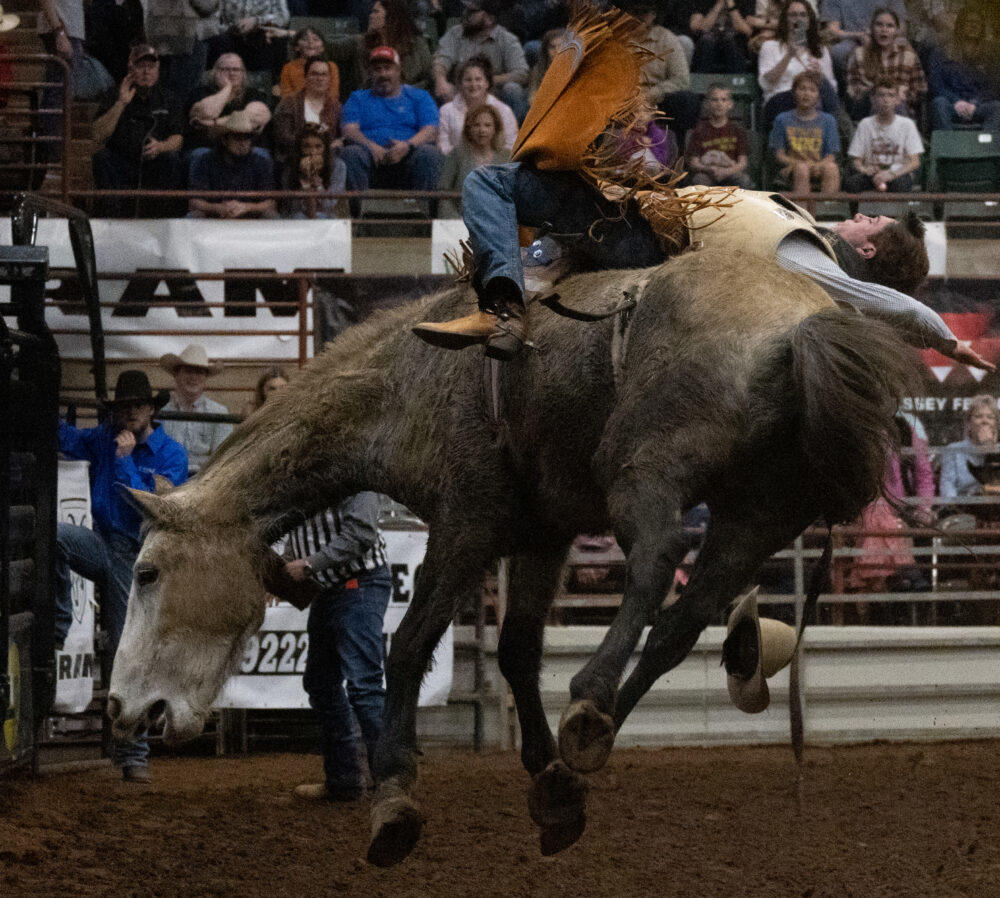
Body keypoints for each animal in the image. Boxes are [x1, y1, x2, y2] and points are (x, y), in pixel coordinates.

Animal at [105, 250, 912, 860]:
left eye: (147, 572)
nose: (122, 707)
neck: (408, 379)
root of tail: (804, 322)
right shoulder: (542, 533)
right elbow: (518, 648)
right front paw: (549, 782)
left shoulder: (468, 521)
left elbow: (410, 644)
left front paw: (394, 796)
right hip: (759, 513)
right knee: (685, 617)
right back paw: (591, 734)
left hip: (647, 463)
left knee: (658, 557)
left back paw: (590, 695)